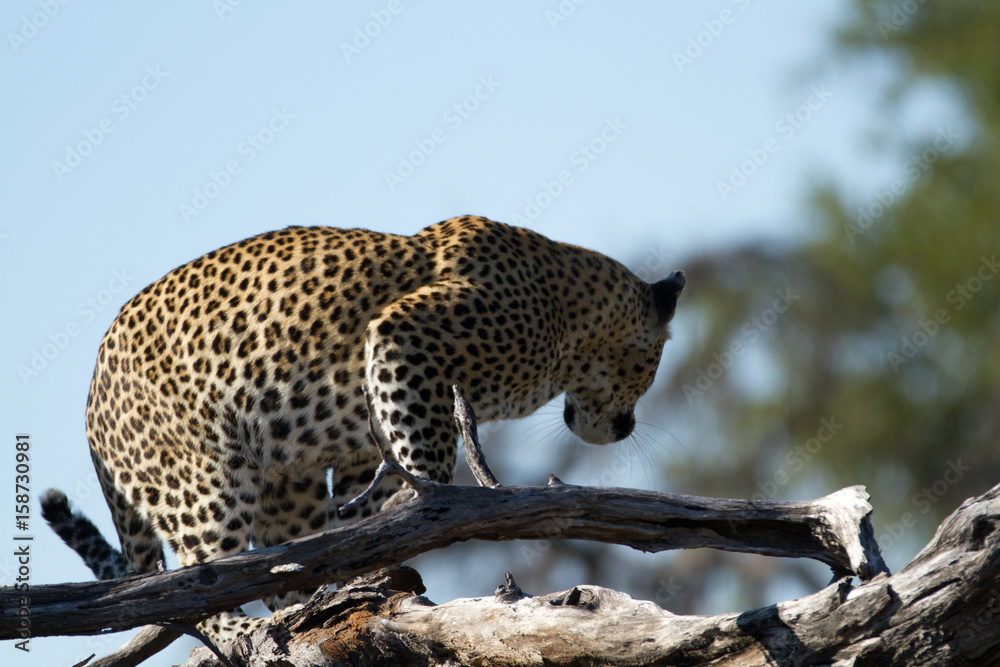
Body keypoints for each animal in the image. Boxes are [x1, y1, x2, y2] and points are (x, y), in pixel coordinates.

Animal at [41, 215, 680, 648]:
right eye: (653, 365)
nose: (624, 428)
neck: (569, 314)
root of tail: (91, 406)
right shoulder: (407, 334)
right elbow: (428, 461)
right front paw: (429, 513)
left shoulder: (363, 431)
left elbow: (375, 488)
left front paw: (376, 541)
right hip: (201, 478)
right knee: (204, 583)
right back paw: (244, 627)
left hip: (285, 485)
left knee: (278, 570)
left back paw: (313, 602)